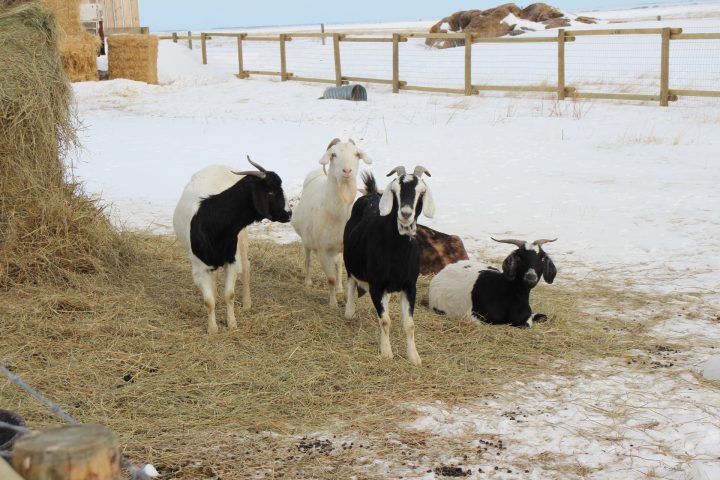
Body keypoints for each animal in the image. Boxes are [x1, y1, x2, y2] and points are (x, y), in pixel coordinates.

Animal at [173, 156, 291, 334]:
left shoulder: (232, 260)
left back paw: (247, 303)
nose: (289, 213)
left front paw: (232, 324)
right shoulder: (200, 268)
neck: (211, 221)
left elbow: (229, 294)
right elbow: (208, 301)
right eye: (270, 192)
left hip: (241, 239)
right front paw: (213, 329)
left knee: (247, 267)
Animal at [290, 138, 372, 306]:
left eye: (357, 154)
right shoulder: (323, 250)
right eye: (333, 154)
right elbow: (330, 279)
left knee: (338, 265)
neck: (338, 216)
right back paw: (308, 282)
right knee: (308, 259)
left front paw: (345, 296)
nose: (347, 171)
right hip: (307, 241)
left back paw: (340, 288)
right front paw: (333, 304)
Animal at [343, 166, 436, 366]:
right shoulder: (376, 286)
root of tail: (371, 194)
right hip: (350, 260)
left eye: (421, 191)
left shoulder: (410, 286)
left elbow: (409, 324)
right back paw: (349, 311)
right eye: (395, 190)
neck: (397, 254)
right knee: (351, 280)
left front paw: (414, 357)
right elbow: (385, 320)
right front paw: (386, 353)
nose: (406, 214)